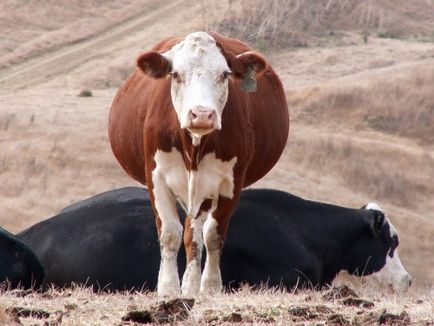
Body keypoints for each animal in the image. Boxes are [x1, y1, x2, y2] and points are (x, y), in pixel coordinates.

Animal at [108, 31, 290, 296]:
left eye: (224, 74)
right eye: (175, 74)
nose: (202, 114)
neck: (193, 145)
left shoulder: (230, 182)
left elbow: (213, 235)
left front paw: (210, 287)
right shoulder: (156, 176)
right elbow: (170, 233)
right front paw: (168, 288)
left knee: (194, 234)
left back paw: (192, 286)